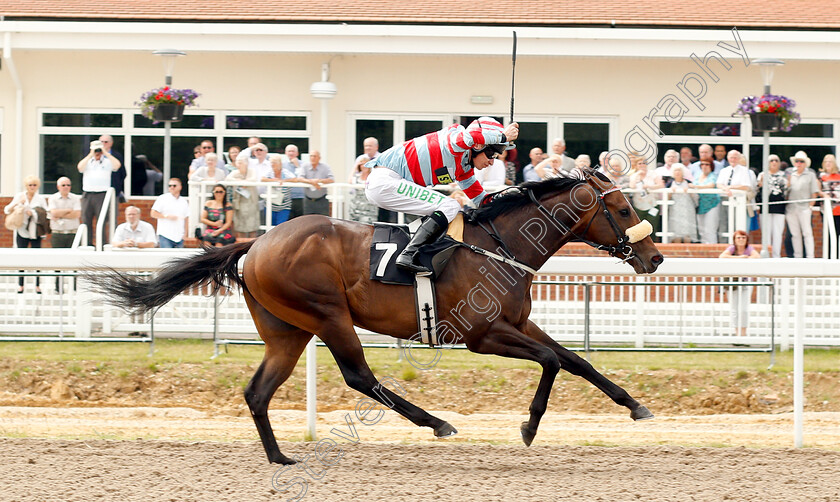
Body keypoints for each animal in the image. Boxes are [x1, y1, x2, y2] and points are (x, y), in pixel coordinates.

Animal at [93, 169, 664, 462]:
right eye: (623, 209)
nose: (655, 257)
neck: (498, 245)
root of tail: (254, 243)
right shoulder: (483, 334)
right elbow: (550, 361)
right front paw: (528, 425)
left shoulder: (518, 324)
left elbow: (576, 361)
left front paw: (637, 407)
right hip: (326, 314)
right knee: (358, 376)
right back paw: (436, 422)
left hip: (287, 331)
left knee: (258, 392)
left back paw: (280, 458)